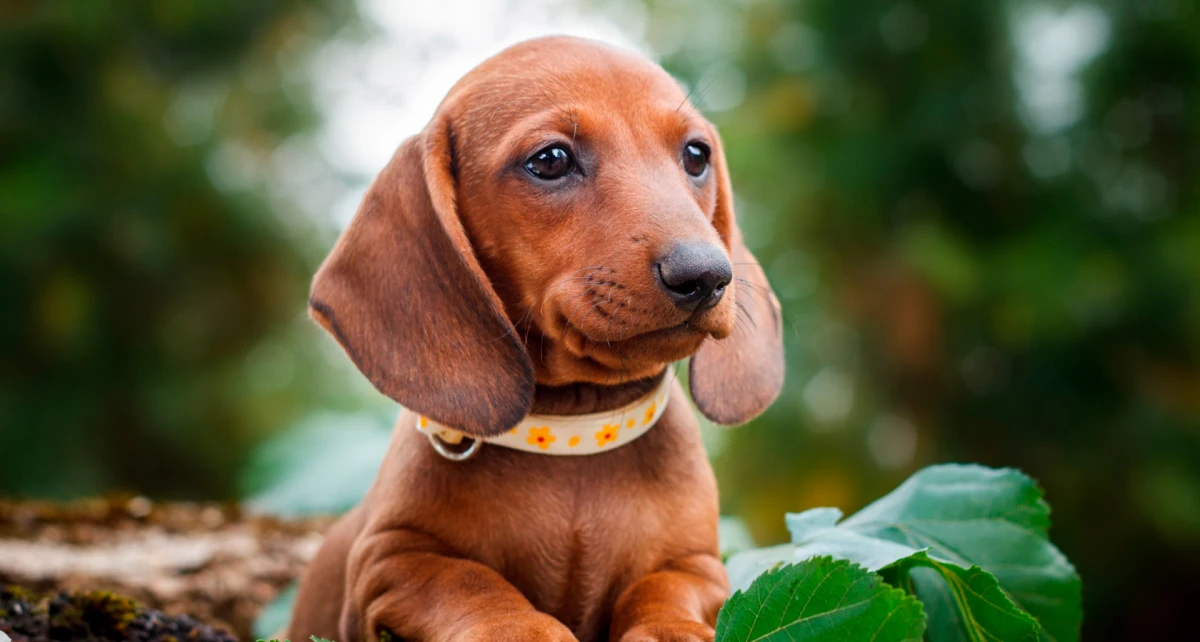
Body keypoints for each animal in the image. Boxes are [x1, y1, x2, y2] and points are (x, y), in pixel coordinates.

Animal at [285, 36, 782, 642]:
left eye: (696, 155)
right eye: (550, 160)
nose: (707, 275)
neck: (573, 435)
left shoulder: (697, 564)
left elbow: (663, 589)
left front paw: (671, 630)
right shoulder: (389, 560)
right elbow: (472, 584)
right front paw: (522, 628)